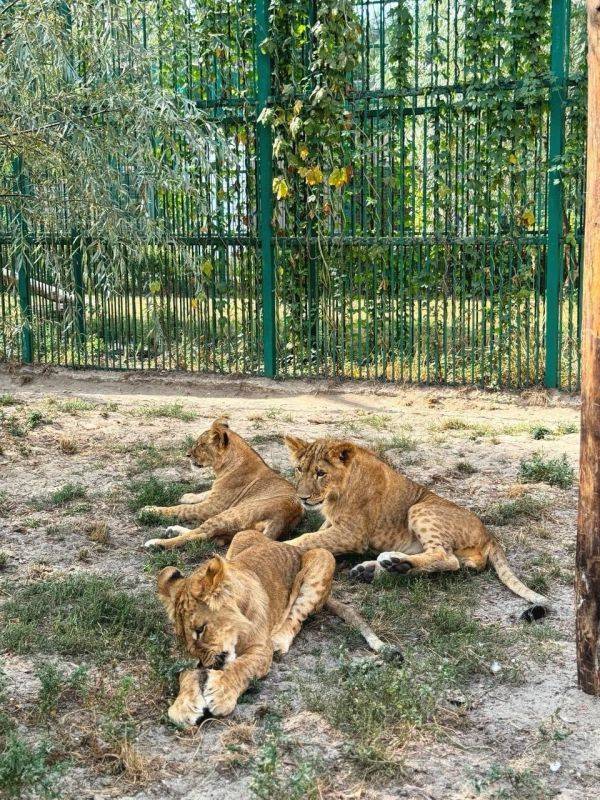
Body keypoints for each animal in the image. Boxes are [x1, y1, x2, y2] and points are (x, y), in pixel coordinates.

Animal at [158, 528, 398, 720]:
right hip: (240, 537)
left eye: (200, 630)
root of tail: (286, 544)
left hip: (323, 558)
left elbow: (241, 667)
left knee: (297, 616)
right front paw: (183, 705)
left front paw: (221, 692)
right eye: (182, 637)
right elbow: (186, 673)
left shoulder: (260, 651)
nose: (202, 664)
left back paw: (279, 640)